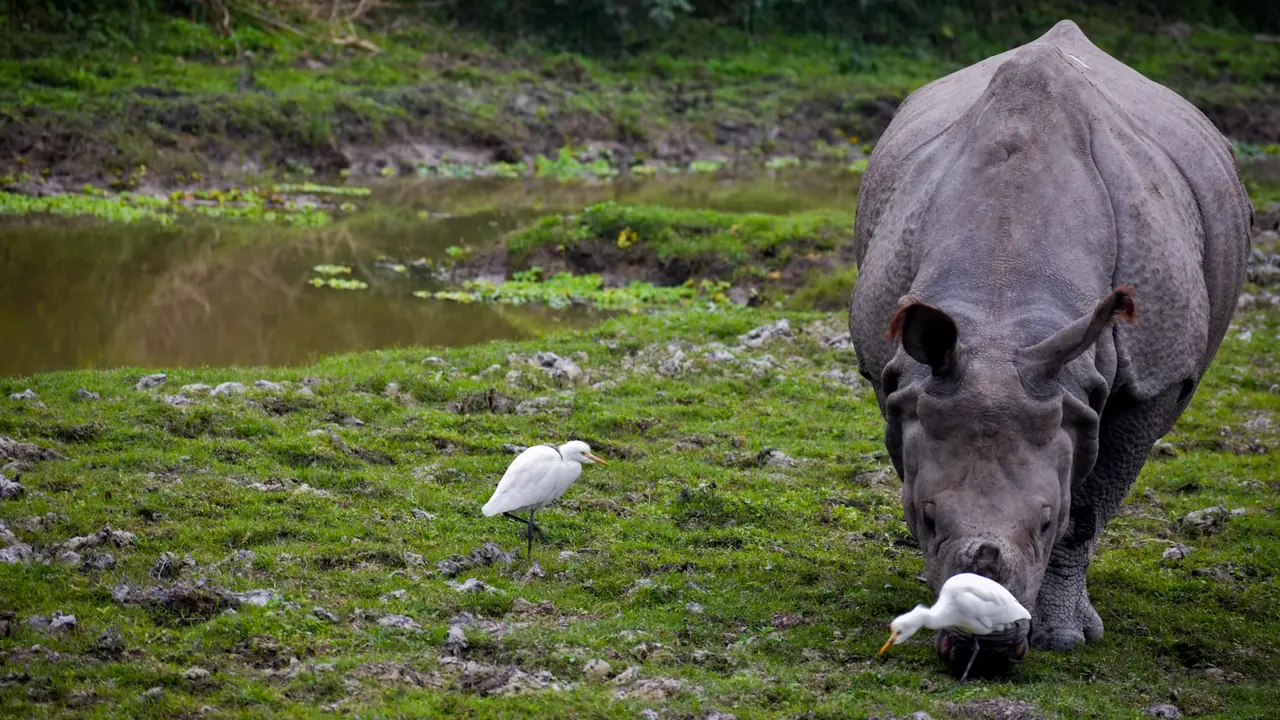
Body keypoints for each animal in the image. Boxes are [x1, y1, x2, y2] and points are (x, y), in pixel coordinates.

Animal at [849, 20, 1252, 671]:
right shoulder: (902, 376)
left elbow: (1087, 510)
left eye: (1044, 523)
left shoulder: (1154, 377)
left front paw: (1062, 637)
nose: (983, 653)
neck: (1002, 303)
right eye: (929, 518)